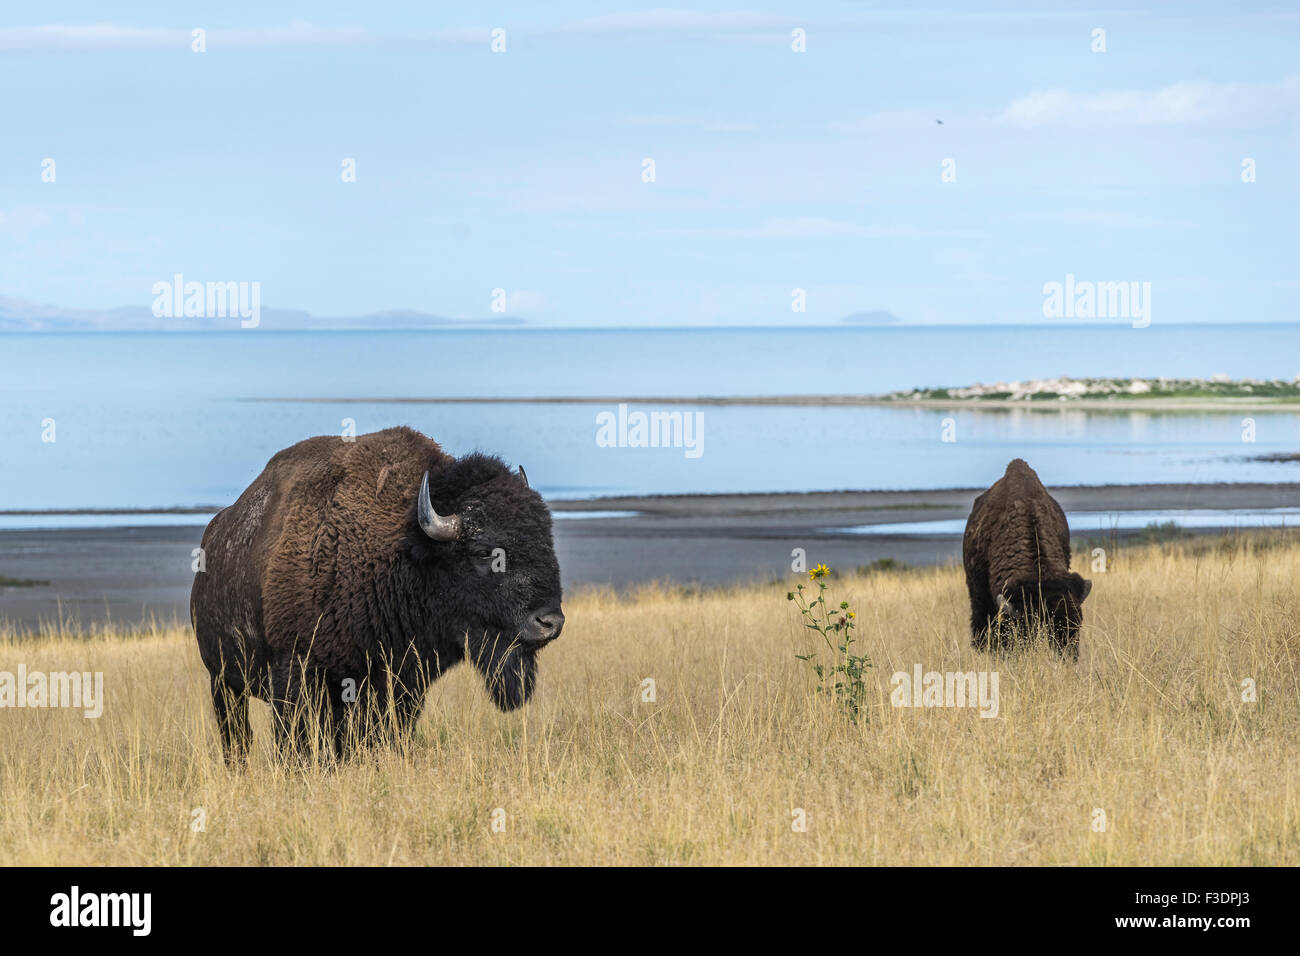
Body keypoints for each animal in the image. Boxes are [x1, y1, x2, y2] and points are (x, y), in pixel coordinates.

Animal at [191, 426, 564, 764]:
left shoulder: (401, 683)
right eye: (484, 552)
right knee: (237, 737)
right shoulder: (296, 672)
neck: (402, 547)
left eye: (547, 539)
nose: (549, 622)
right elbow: (298, 743)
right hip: (222, 682)